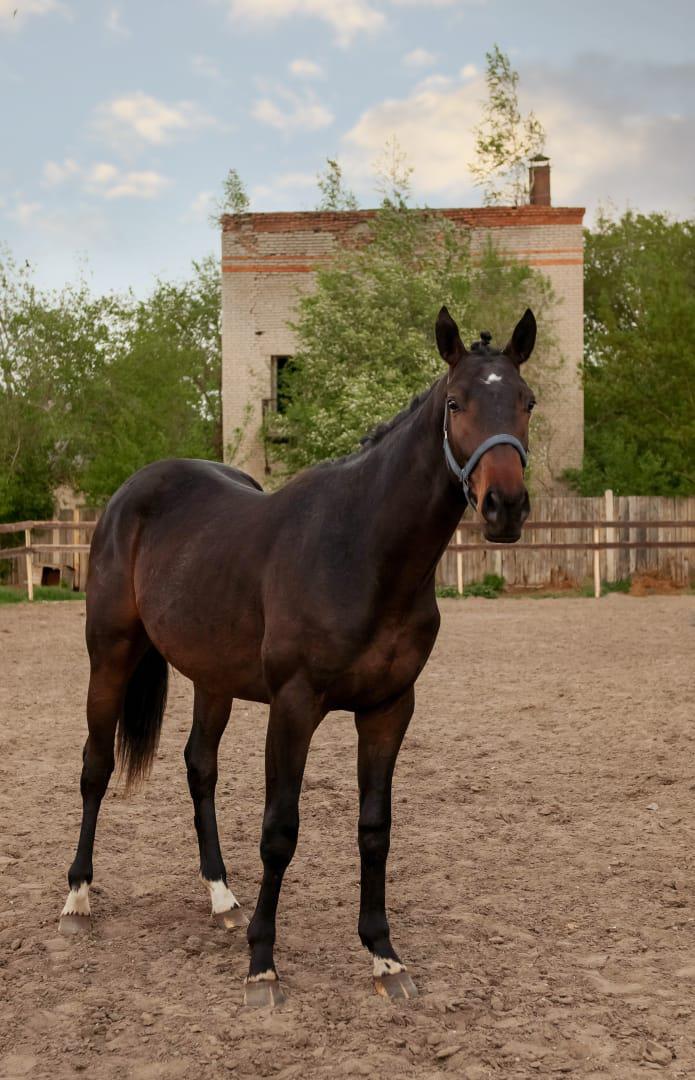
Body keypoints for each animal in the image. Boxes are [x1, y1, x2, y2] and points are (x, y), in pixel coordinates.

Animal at [60, 305, 537, 1005]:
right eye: (456, 403)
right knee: (95, 765)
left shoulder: (390, 709)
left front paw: (384, 956)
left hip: (213, 680)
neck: (361, 549)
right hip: (111, 654)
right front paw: (263, 964)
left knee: (199, 768)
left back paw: (222, 898)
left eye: (527, 401)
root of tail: (132, 493)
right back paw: (77, 895)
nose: (505, 507)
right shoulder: (294, 706)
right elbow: (280, 830)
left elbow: (375, 828)